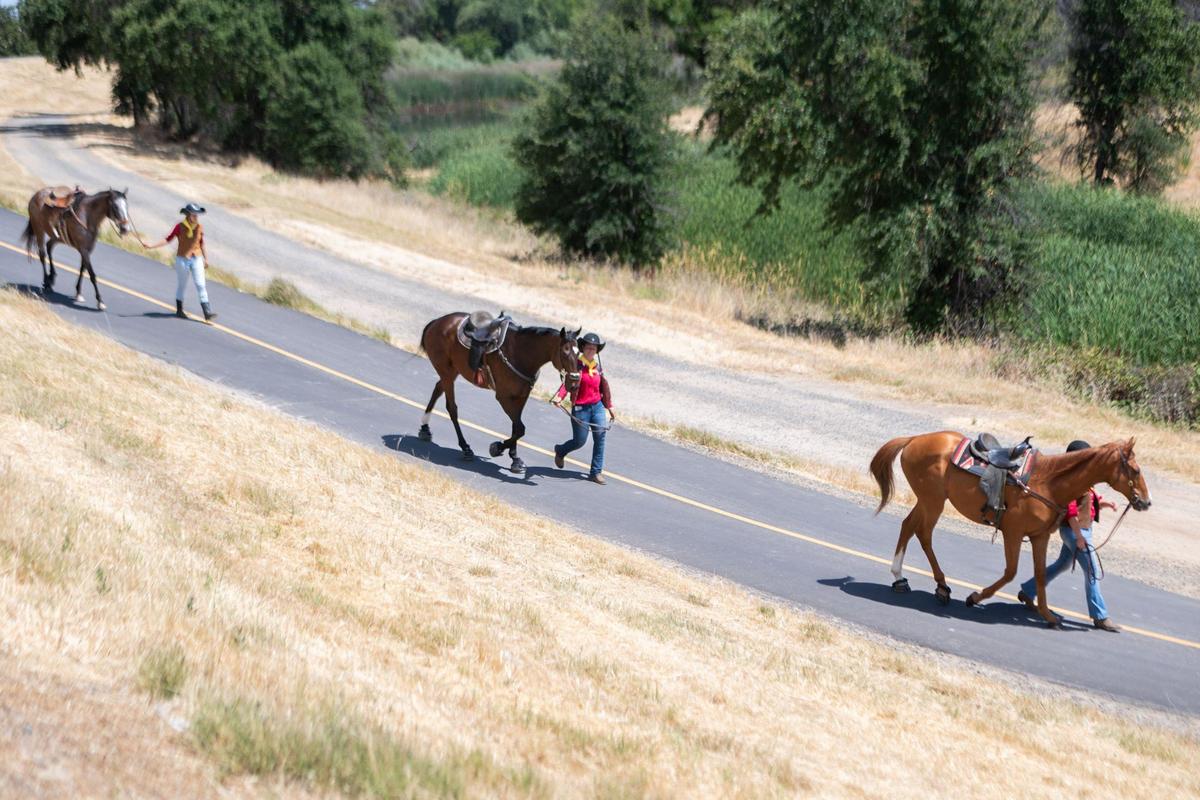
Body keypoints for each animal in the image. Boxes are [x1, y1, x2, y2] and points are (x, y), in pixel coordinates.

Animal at [418, 313, 581, 474]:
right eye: (565, 351)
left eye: (579, 354)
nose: (574, 383)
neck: (521, 353)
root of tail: (437, 322)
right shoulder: (504, 397)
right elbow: (520, 429)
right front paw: (497, 448)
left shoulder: (521, 397)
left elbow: (516, 427)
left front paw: (515, 458)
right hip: (446, 372)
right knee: (452, 408)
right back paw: (465, 448)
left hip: (452, 372)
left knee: (438, 389)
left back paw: (425, 429)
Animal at [870, 432, 1151, 627]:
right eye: (1135, 470)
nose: (1146, 502)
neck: (1048, 482)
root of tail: (914, 439)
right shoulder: (1013, 533)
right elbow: (1011, 572)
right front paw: (975, 597)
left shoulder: (1039, 536)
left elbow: (1040, 575)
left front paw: (1048, 615)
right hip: (933, 501)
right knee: (923, 534)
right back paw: (939, 586)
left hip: (927, 501)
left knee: (908, 526)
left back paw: (901, 578)